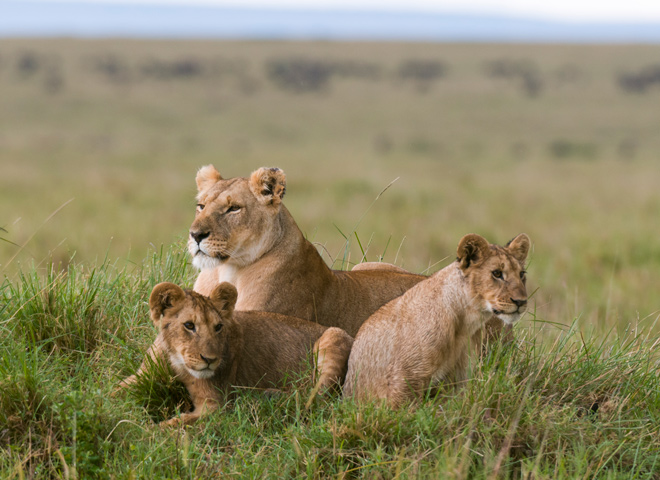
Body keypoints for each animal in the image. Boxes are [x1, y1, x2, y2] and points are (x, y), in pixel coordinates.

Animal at [119, 282, 354, 426]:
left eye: (218, 327)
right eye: (189, 325)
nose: (210, 360)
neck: (178, 361)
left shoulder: (215, 406)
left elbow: (176, 424)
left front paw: (145, 429)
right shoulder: (139, 377)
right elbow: (114, 391)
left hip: (334, 335)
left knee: (318, 400)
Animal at [343, 233, 530, 407]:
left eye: (521, 274)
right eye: (497, 273)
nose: (521, 302)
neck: (465, 322)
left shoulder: (458, 381)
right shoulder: (404, 380)